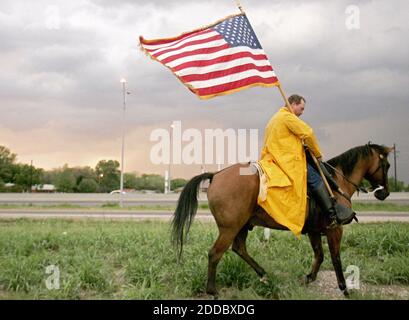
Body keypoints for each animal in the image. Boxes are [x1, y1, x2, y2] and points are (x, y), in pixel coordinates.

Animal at [170, 142, 392, 298]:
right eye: (387, 165)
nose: (385, 193)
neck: (335, 184)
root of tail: (216, 175)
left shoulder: (314, 231)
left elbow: (319, 255)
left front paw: (309, 278)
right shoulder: (334, 230)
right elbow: (336, 259)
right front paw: (344, 289)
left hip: (241, 226)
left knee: (239, 248)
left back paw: (263, 274)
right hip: (229, 228)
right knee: (215, 253)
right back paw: (213, 290)